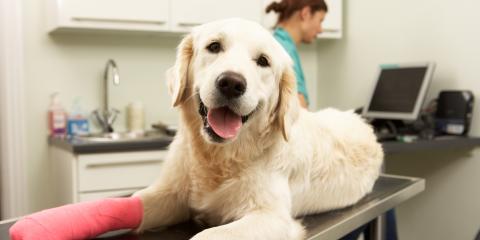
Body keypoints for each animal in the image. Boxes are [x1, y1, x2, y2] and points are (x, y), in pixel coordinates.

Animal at [132, 18, 382, 240]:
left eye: (263, 61)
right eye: (214, 46)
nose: (231, 83)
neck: (220, 157)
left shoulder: (272, 218)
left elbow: (208, 235)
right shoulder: (171, 194)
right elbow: (137, 201)